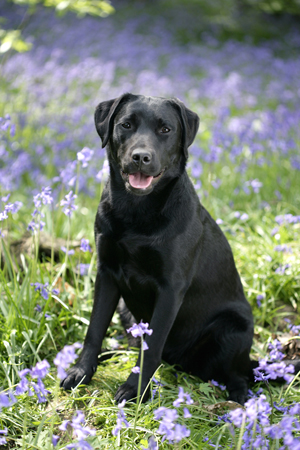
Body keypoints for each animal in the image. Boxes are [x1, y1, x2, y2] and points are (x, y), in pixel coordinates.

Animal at [62, 93, 254, 406]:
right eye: (126, 124)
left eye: (166, 129)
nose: (141, 157)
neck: (136, 211)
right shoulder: (107, 272)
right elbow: (94, 329)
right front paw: (81, 371)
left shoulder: (170, 288)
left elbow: (151, 347)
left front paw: (135, 389)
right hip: (126, 310)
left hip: (232, 329)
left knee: (239, 376)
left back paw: (240, 401)